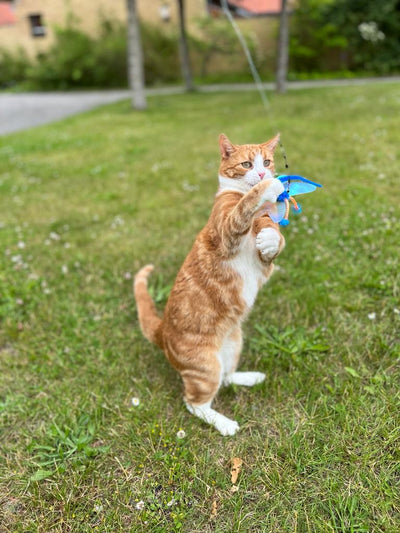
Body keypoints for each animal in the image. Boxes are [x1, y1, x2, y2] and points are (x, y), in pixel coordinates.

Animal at [134, 135, 284, 434]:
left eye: (267, 162)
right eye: (247, 164)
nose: (263, 174)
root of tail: (162, 330)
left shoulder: (264, 264)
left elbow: (274, 241)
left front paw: (270, 237)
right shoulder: (227, 231)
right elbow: (244, 205)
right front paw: (267, 187)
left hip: (234, 343)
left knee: (226, 377)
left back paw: (250, 377)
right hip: (205, 366)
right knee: (195, 403)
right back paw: (225, 424)